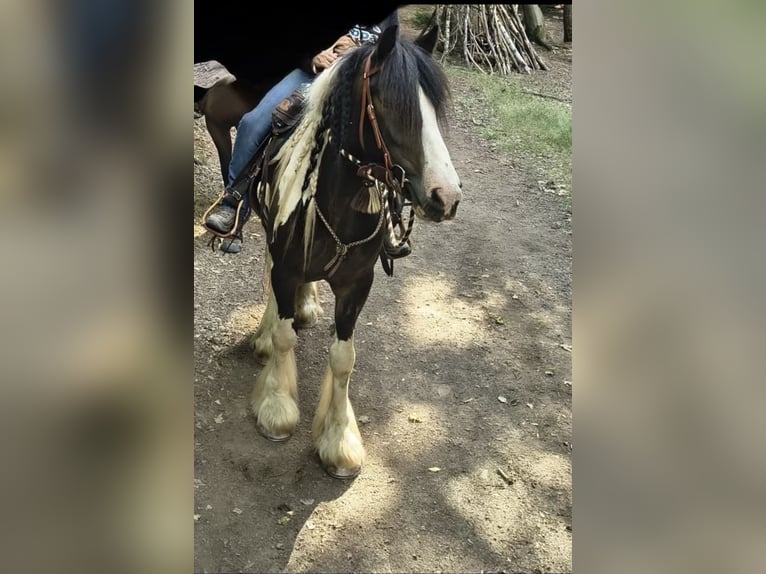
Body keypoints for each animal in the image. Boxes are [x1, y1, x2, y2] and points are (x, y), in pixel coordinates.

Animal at [242, 23, 462, 479]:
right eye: (389, 103)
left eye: (435, 108)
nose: (446, 196)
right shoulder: (286, 267)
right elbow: (285, 335)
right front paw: (276, 408)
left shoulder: (357, 284)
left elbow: (344, 357)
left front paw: (340, 441)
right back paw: (266, 336)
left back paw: (306, 304)